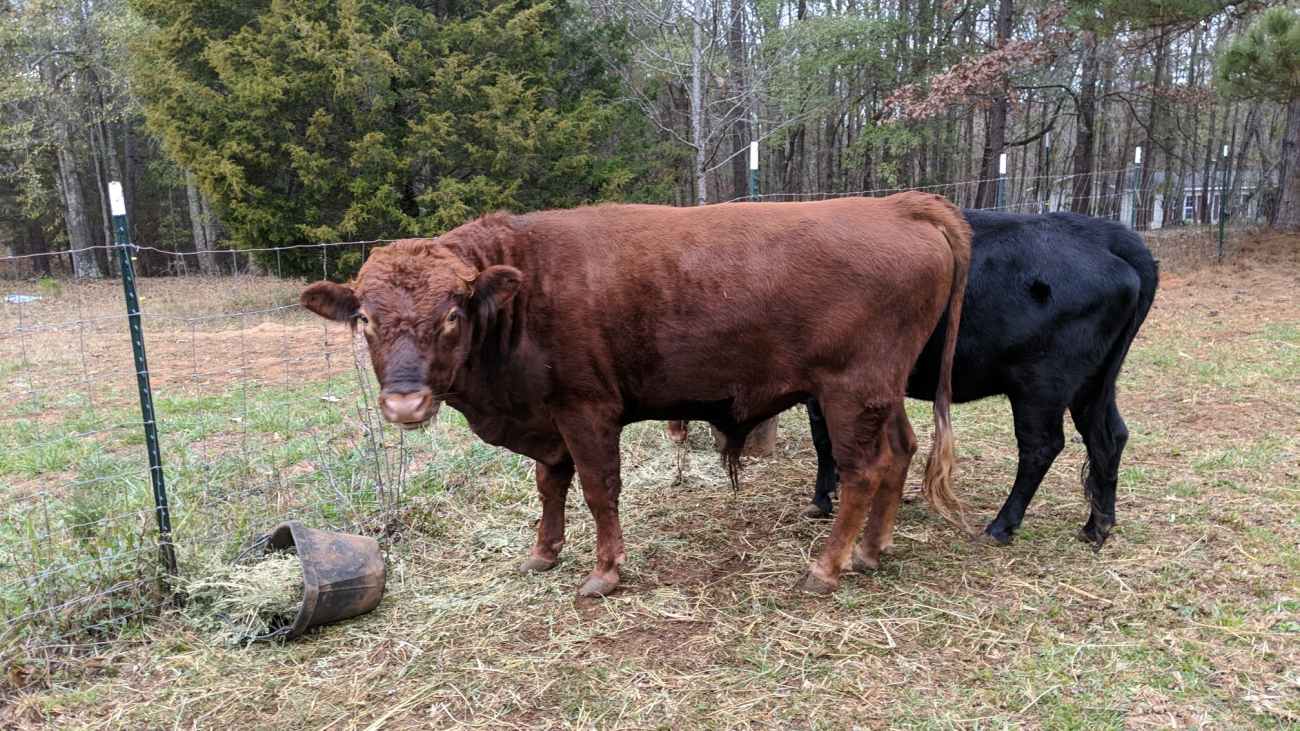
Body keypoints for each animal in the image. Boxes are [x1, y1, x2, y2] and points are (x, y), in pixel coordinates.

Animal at [301, 194, 971, 597]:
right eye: (364, 318)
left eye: (452, 315)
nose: (404, 405)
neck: (526, 289)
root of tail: (901, 205)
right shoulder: (548, 418)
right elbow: (550, 485)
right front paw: (543, 553)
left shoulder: (585, 409)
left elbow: (599, 489)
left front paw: (604, 572)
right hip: (882, 395)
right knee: (901, 452)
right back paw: (871, 552)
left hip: (850, 394)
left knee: (861, 471)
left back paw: (826, 568)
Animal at [676, 209, 1156, 549]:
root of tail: (1107, 233)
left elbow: (824, 439)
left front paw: (822, 498)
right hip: (1093, 384)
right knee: (1109, 437)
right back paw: (1098, 526)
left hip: (1042, 383)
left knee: (1041, 446)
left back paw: (1002, 526)